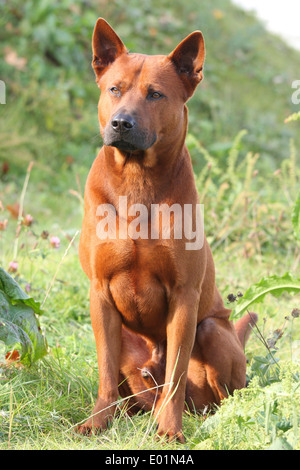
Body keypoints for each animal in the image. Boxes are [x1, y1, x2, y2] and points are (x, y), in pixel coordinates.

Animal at [78, 18, 255, 442]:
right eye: (114, 88)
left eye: (155, 94)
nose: (120, 123)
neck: (137, 182)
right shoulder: (100, 294)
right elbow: (105, 371)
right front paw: (97, 421)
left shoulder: (184, 299)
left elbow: (175, 374)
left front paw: (171, 430)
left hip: (211, 330)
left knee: (217, 397)